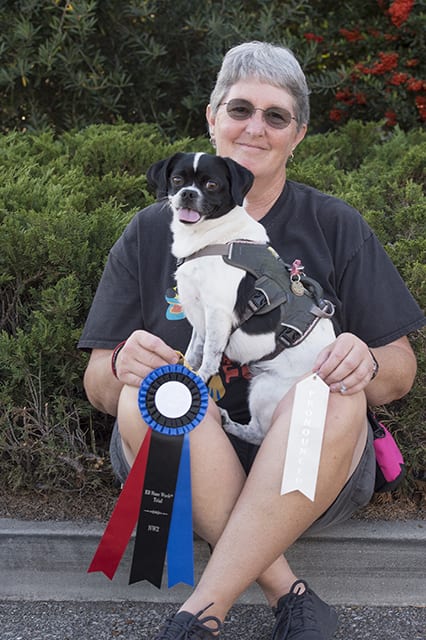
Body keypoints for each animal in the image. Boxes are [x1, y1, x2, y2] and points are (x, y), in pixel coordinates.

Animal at [147, 154, 336, 444]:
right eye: (177, 179)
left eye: (212, 184)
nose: (188, 193)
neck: (212, 238)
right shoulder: (201, 318)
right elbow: (194, 352)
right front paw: (185, 369)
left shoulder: (217, 314)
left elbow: (210, 357)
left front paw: (198, 380)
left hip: (264, 388)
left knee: (259, 434)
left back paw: (232, 425)